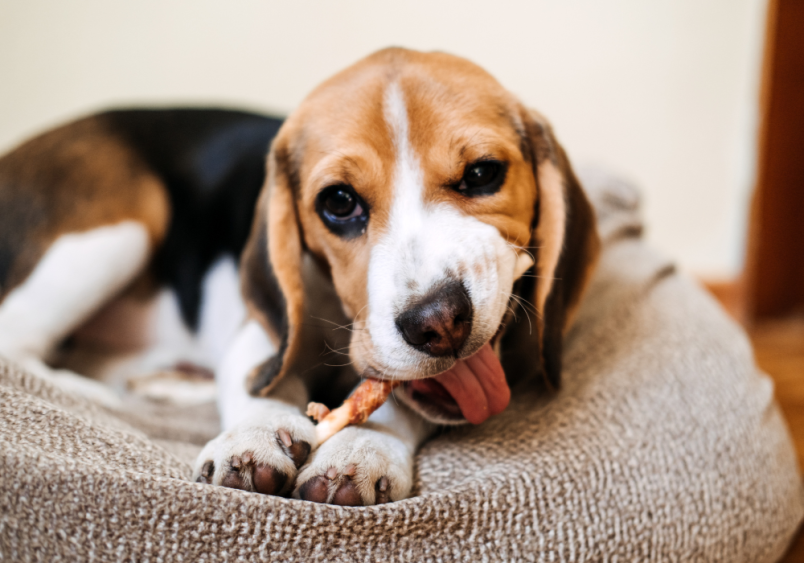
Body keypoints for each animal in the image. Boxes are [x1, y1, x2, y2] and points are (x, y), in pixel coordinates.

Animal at [0, 48, 596, 506]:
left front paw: (359, 449)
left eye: (483, 174)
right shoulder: (261, 336)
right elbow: (265, 384)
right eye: (339, 203)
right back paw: (108, 398)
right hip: (121, 224)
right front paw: (254, 437)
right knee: (20, 348)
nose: (439, 322)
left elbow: (396, 399)